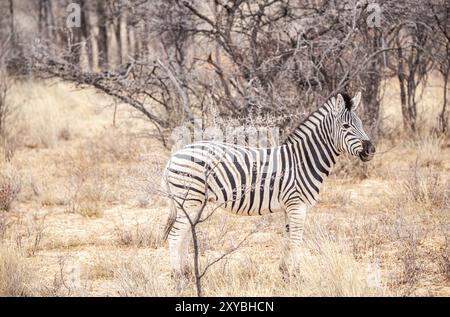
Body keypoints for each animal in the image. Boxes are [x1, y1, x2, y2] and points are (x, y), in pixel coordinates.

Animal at [162, 91, 376, 274]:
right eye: (346, 126)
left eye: (361, 123)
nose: (371, 150)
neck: (302, 161)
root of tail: (175, 155)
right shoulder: (297, 205)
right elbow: (296, 241)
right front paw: (297, 274)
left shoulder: (289, 207)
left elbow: (287, 239)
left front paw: (284, 272)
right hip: (189, 199)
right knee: (175, 236)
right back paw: (178, 276)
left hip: (193, 203)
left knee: (184, 235)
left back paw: (187, 271)